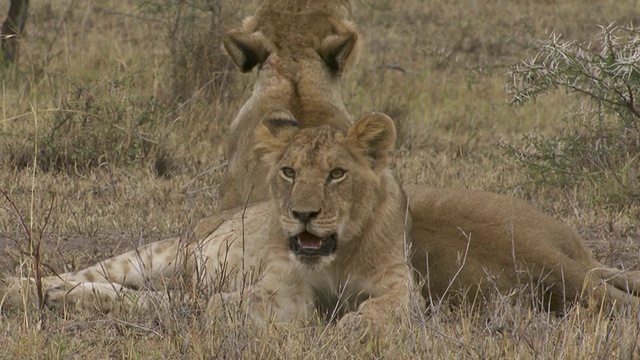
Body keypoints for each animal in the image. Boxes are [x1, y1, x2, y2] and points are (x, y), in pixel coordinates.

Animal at [1, 112, 640, 330]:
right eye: (288, 171)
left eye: (336, 174)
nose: (303, 213)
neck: (342, 249)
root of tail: (578, 248)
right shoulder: (279, 295)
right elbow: (193, 306)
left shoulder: (399, 288)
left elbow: (381, 310)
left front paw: (357, 328)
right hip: (161, 252)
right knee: (86, 273)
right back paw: (28, 291)